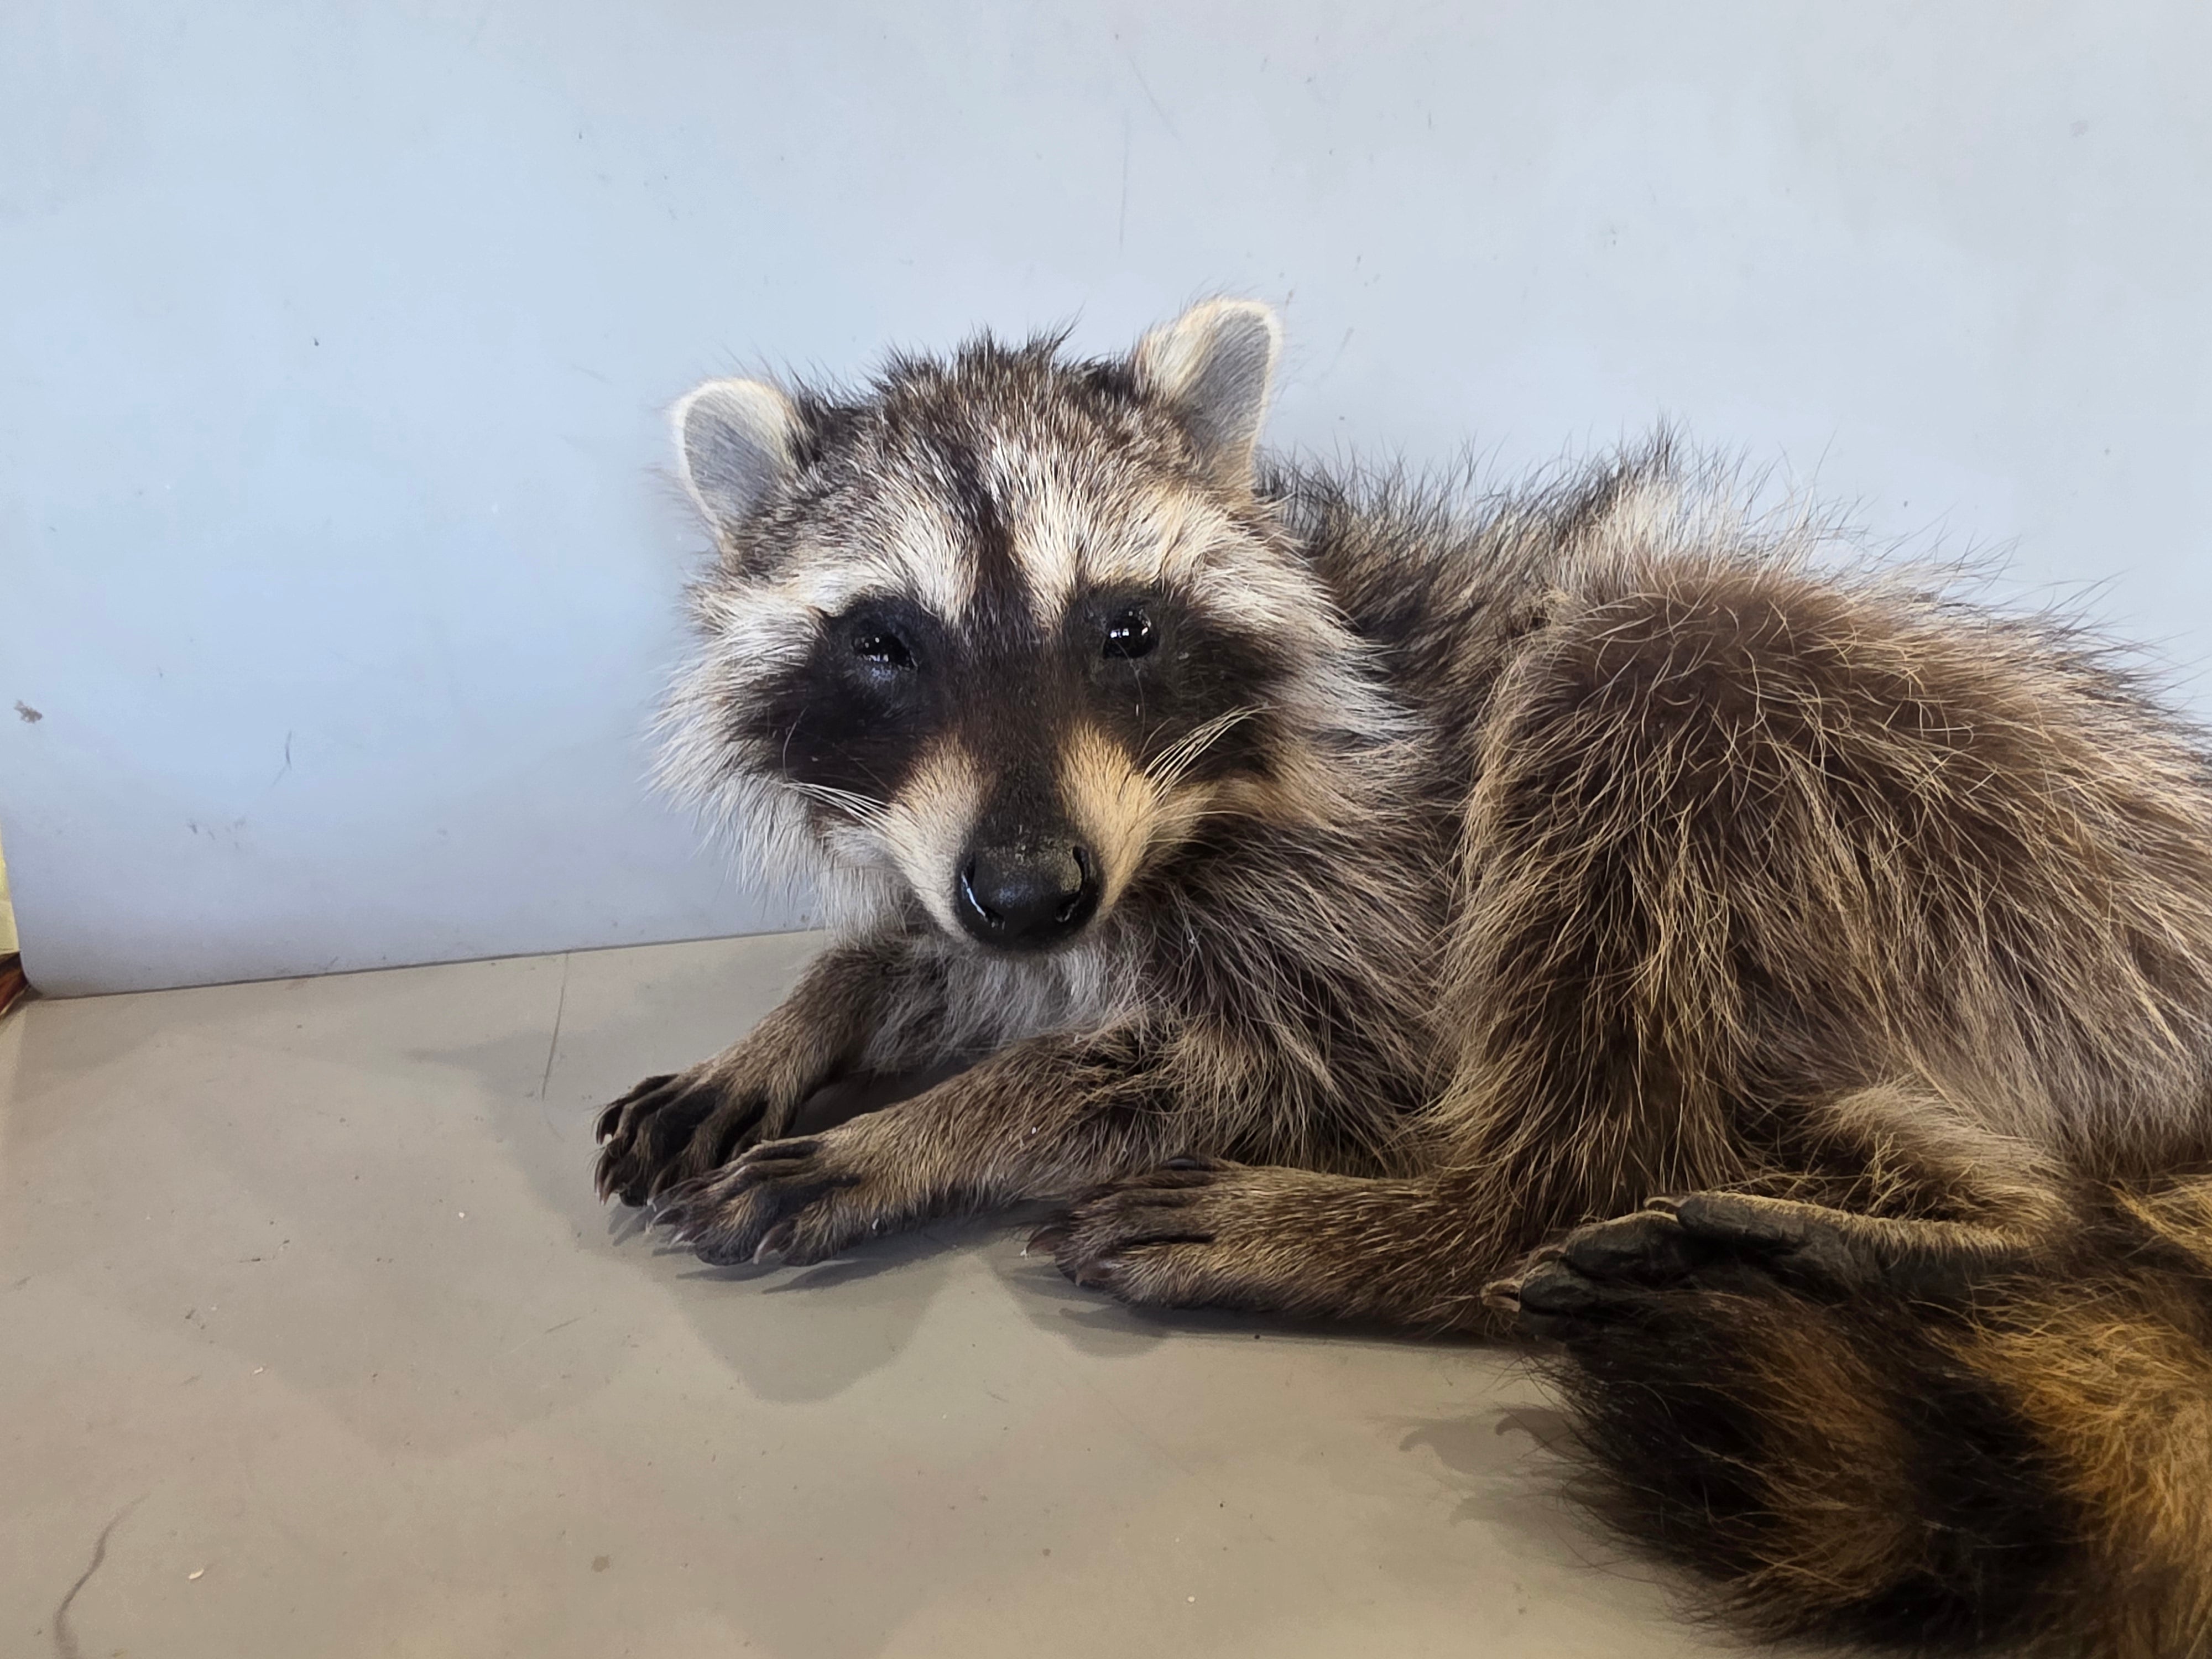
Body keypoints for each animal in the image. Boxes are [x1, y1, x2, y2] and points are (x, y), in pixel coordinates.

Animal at [597, 301, 2212, 1657]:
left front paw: (940, 1121)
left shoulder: (1378, 883)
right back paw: (1999, 1222)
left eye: (1123, 628)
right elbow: (930, 952)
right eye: (884, 643)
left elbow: (1262, 1053)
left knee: (1632, 747)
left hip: (1896, 779)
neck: (1161, 828)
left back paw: (1446, 1224)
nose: (1035, 891)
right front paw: (806, 1017)